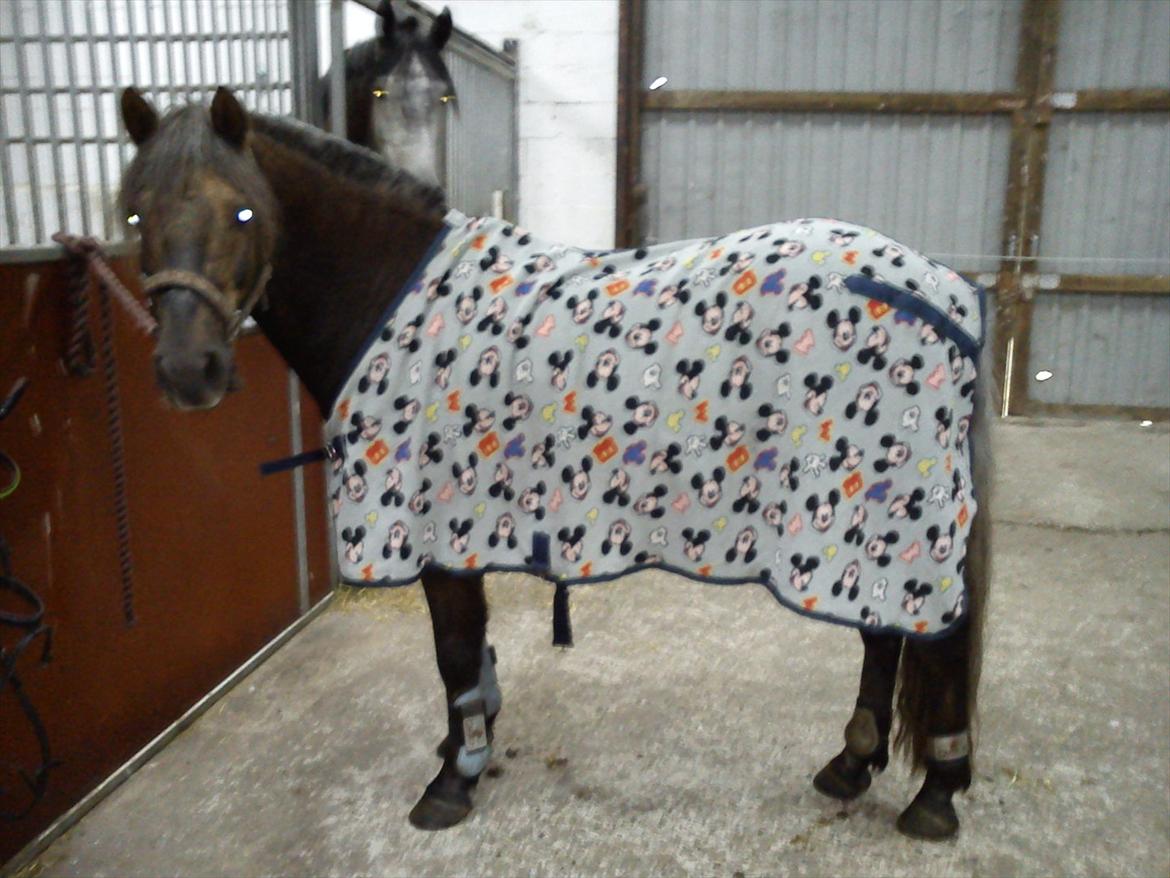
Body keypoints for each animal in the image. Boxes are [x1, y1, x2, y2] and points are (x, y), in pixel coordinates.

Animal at [117, 86, 993, 841]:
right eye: (134, 213)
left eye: (242, 210)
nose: (189, 372)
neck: (394, 294)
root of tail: (943, 289)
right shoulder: (463, 531)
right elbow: (470, 655)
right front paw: (462, 747)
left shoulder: (435, 531)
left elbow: (455, 653)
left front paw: (453, 779)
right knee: (884, 633)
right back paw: (851, 763)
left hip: (885, 511)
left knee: (932, 638)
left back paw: (935, 795)